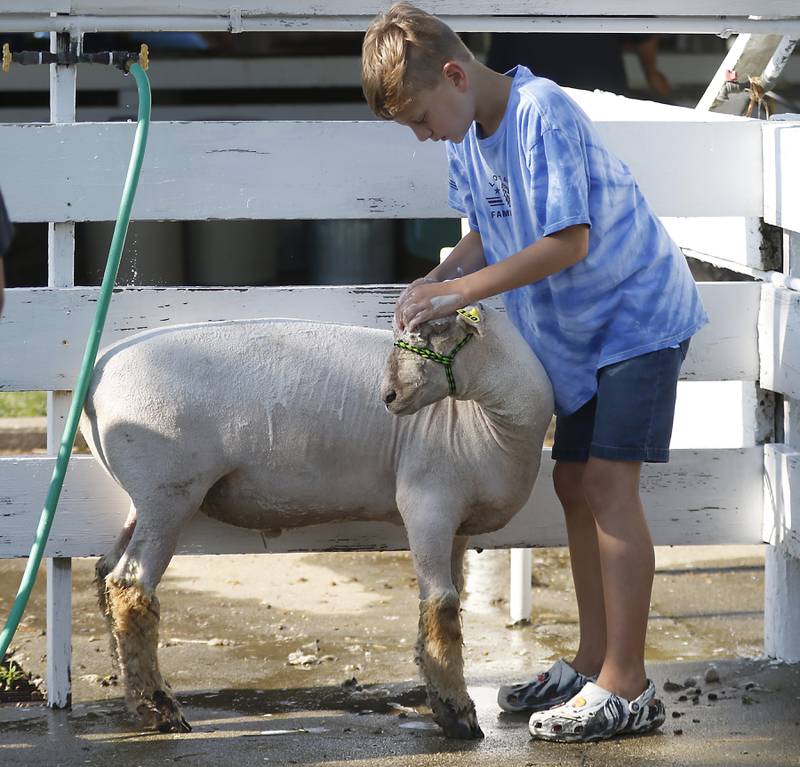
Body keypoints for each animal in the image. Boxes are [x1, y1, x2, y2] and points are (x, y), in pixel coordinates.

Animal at [84, 304, 552, 740]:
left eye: (436, 331)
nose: (389, 396)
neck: (486, 425)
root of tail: (97, 374)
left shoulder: (459, 526)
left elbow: (442, 610)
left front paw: (441, 698)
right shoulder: (427, 504)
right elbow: (443, 608)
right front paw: (458, 714)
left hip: (145, 499)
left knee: (107, 572)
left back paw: (133, 694)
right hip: (169, 491)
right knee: (131, 587)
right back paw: (160, 708)